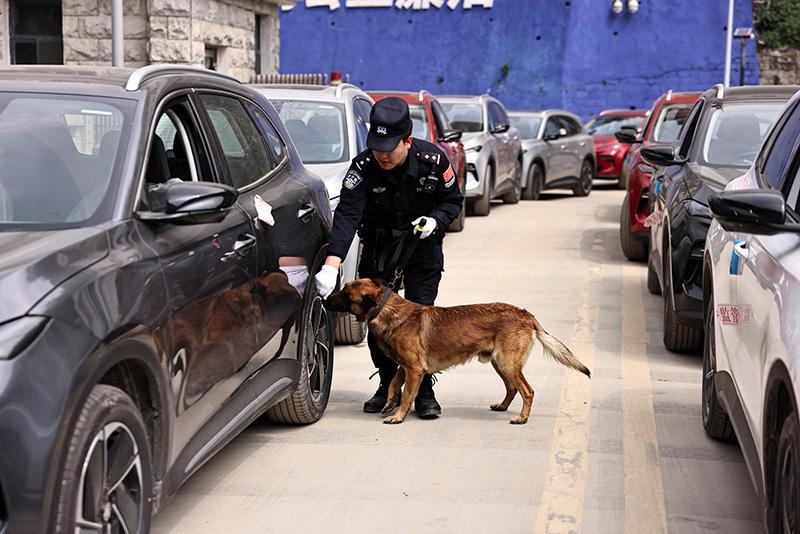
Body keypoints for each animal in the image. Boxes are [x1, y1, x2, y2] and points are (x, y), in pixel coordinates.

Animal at [325, 278, 590, 424]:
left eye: (346, 295)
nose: (325, 299)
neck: (386, 309)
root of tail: (526, 314)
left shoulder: (414, 369)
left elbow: (408, 394)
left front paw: (398, 416)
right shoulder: (406, 367)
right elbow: (392, 385)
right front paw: (389, 405)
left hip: (507, 363)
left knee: (527, 390)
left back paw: (521, 418)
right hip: (500, 364)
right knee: (512, 388)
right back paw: (502, 407)